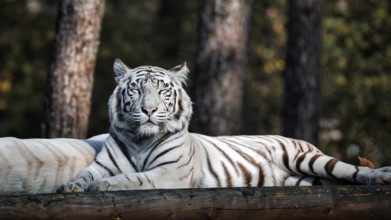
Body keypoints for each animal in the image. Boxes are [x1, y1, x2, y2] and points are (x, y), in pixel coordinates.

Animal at [56, 59, 390, 192]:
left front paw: (104, 186)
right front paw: (70, 186)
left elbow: (134, 179)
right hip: (301, 181)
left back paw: (381, 176)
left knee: (352, 171)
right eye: (136, 90)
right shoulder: (103, 165)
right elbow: (85, 174)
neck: (141, 139)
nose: (148, 110)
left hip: (307, 158)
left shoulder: (170, 172)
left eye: (162, 91)